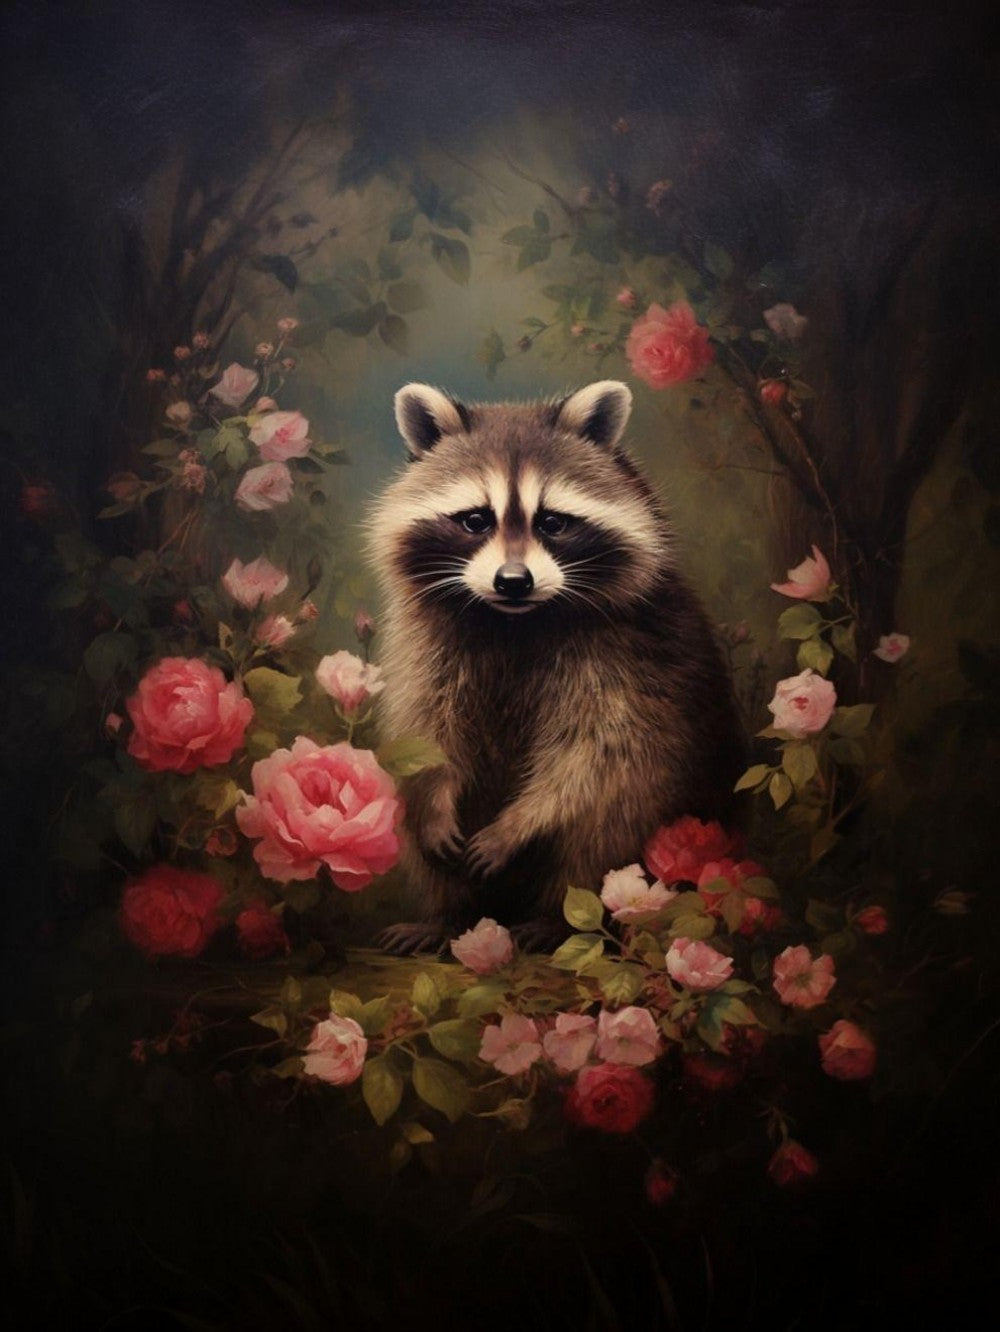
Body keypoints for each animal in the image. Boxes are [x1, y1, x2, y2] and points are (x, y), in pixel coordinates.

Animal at [368, 380, 743, 954]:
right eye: (476, 519)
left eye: (552, 522)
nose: (513, 581)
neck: (515, 622)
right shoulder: (427, 644)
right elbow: (426, 732)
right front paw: (435, 802)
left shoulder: (627, 651)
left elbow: (595, 754)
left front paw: (520, 824)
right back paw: (448, 917)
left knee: (612, 819)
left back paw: (555, 919)